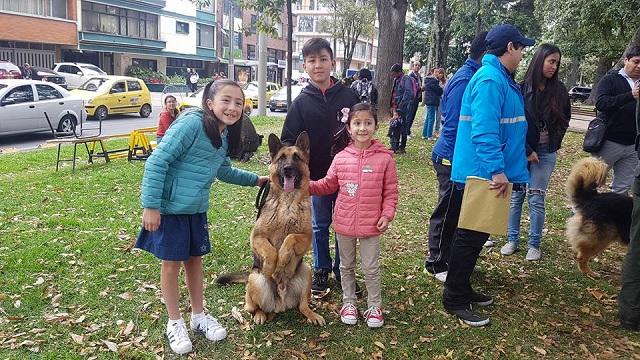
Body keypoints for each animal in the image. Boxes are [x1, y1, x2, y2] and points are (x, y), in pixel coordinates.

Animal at [216, 132, 324, 326]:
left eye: (297, 157)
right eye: (281, 158)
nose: (287, 169)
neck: (287, 201)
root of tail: (280, 302)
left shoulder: (306, 237)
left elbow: (289, 238)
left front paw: (283, 260)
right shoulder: (256, 236)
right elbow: (270, 251)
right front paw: (272, 266)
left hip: (306, 270)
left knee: (302, 306)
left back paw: (312, 315)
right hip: (255, 280)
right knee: (255, 308)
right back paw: (260, 314)